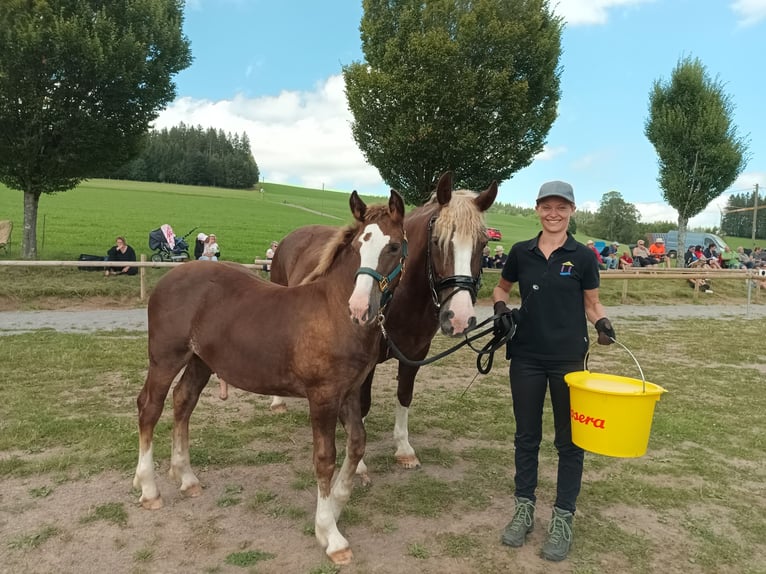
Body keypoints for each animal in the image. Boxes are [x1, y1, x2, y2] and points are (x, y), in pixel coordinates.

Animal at [132, 190, 408, 568]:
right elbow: (326, 458)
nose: (360, 308)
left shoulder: (349, 394)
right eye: (357, 247)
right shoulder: (323, 397)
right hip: (165, 358)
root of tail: (167, 280)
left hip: (200, 362)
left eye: (393, 246)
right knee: (150, 407)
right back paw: (149, 489)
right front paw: (331, 535)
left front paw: (334, 510)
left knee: (183, 402)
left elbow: (356, 446)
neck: (334, 312)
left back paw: (186, 479)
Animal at [270, 174, 498, 472]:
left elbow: (404, 395)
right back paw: (277, 402)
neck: (403, 297)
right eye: (437, 241)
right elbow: (364, 404)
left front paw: (404, 448)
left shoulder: (415, 354)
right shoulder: (368, 360)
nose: (458, 317)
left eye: (482, 244)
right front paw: (358, 463)